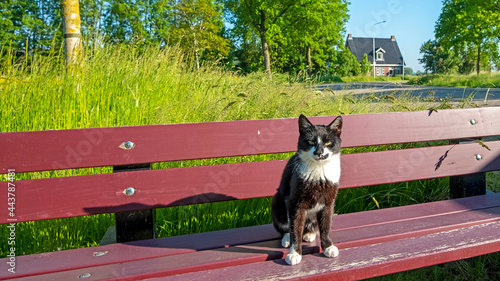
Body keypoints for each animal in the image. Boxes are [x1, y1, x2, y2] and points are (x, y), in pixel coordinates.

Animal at [272, 114, 342, 264]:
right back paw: (287, 238)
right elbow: (295, 228)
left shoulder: (329, 201)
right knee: (287, 227)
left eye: (328, 143)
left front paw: (328, 246)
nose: (319, 152)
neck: (319, 172)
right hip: (276, 202)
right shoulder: (294, 202)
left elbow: (326, 225)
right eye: (311, 141)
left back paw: (309, 233)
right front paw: (294, 253)